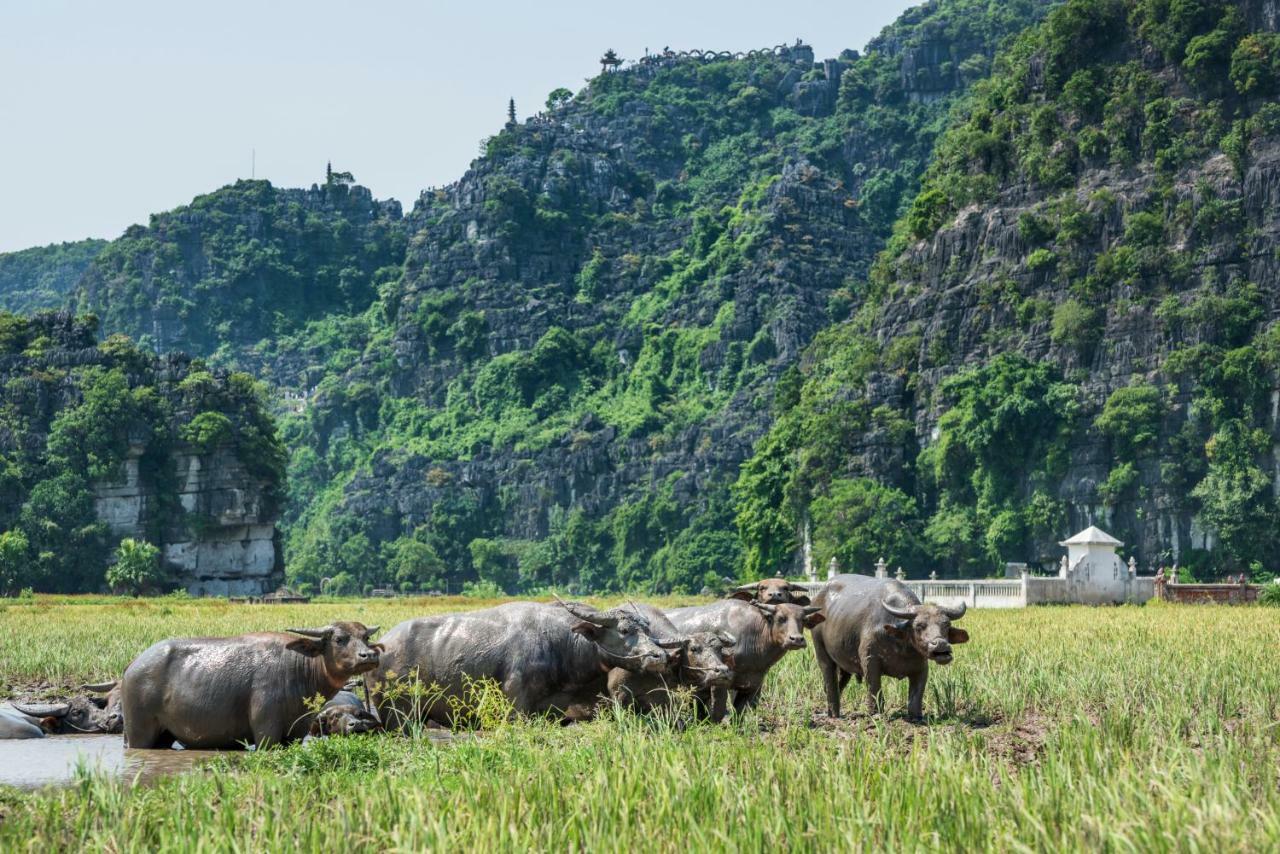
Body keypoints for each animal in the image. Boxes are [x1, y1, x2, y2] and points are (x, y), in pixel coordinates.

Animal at [121, 622, 381, 747]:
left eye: (366, 637)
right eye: (339, 639)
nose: (369, 655)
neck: (299, 669)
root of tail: (132, 666)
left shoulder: (297, 732)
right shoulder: (266, 732)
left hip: (164, 734)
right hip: (139, 731)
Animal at [371, 601, 686, 727]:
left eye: (646, 628)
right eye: (623, 630)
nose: (659, 656)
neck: (561, 643)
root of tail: (380, 647)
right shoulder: (516, 703)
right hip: (398, 711)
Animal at [665, 601, 824, 722]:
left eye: (803, 620)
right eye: (780, 618)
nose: (796, 639)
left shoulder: (753, 685)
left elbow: (739, 712)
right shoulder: (719, 681)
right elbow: (718, 710)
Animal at [808, 573, 967, 722]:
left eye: (946, 624)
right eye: (919, 626)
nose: (941, 643)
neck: (901, 644)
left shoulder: (921, 668)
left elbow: (916, 696)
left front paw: (916, 717)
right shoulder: (869, 660)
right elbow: (874, 689)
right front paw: (876, 714)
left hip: (844, 663)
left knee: (838, 683)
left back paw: (830, 713)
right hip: (821, 650)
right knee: (829, 679)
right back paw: (834, 715)